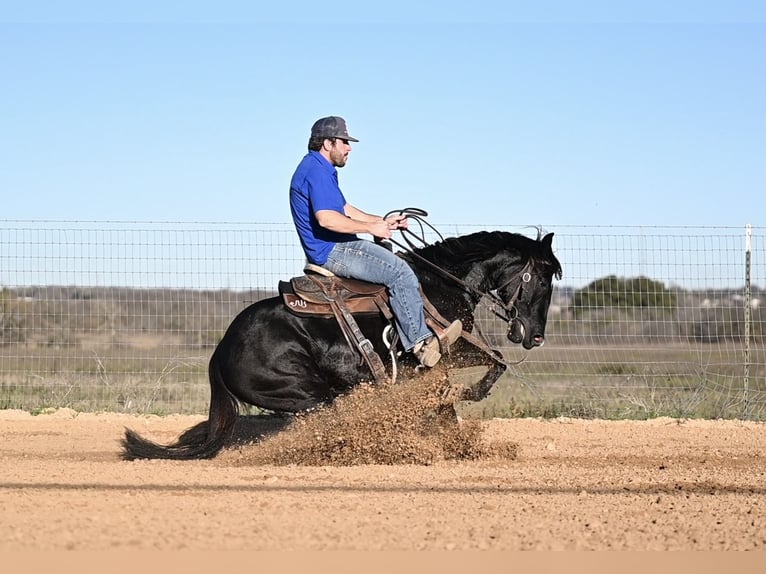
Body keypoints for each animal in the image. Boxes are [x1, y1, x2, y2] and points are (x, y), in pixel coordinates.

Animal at [121, 232, 564, 462]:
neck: (441, 284)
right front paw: (464, 411)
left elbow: (478, 377)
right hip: (305, 394)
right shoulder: (446, 352)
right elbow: (492, 366)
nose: (535, 336)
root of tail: (219, 351)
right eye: (543, 280)